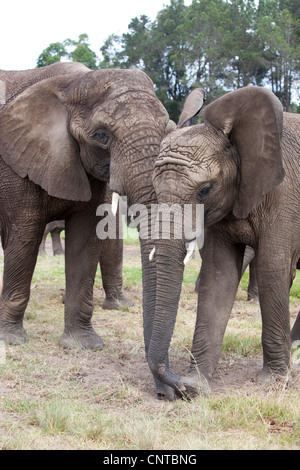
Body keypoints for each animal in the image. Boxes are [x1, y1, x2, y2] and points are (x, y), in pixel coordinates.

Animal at [0, 61, 169, 360]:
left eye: (165, 128)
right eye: (101, 136)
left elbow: (86, 240)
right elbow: (24, 237)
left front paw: (82, 345)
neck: (73, 83)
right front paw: (10, 340)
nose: (164, 372)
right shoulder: (16, 161)